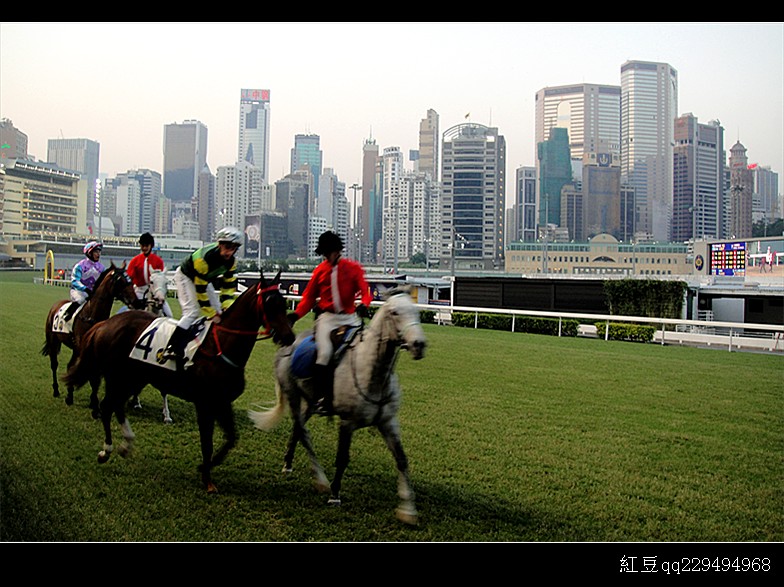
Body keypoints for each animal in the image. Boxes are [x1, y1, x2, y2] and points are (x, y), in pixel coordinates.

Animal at [42, 264, 139, 412]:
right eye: (120, 280)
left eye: (130, 280)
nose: (136, 301)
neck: (92, 316)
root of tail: (55, 306)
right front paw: (89, 402)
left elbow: (94, 374)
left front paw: (93, 401)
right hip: (54, 341)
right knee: (54, 365)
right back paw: (57, 391)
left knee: (70, 365)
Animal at [62, 274, 296, 494]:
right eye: (269, 302)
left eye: (283, 302)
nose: (289, 336)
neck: (221, 345)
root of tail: (104, 324)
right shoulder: (204, 403)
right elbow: (207, 443)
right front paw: (207, 478)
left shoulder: (222, 402)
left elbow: (231, 439)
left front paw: (206, 468)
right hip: (117, 376)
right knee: (107, 406)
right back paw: (106, 450)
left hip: (133, 378)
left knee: (116, 406)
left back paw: (126, 443)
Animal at [248, 288, 426, 524]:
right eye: (395, 313)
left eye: (416, 311)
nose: (419, 345)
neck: (372, 372)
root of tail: (288, 344)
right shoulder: (347, 423)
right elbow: (342, 459)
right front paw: (334, 494)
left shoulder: (388, 423)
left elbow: (402, 460)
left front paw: (408, 509)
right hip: (293, 396)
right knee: (303, 433)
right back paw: (320, 480)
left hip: (310, 403)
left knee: (297, 429)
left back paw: (288, 463)